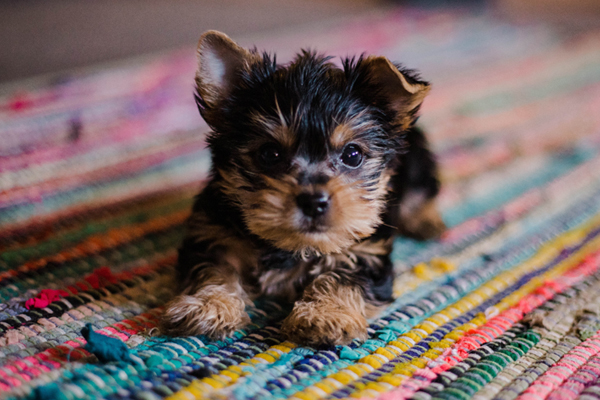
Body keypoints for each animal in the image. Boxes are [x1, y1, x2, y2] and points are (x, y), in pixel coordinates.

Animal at [162, 31, 442, 346]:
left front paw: (326, 315)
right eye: (269, 154)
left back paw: (426, 221)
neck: (292, 246)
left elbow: (343, 276)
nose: (314, 202)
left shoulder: (366, 250)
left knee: (423, 188)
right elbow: (213, 268)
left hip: (417, 160)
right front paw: (209, 305)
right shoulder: (212, 233)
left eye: (352, 155)